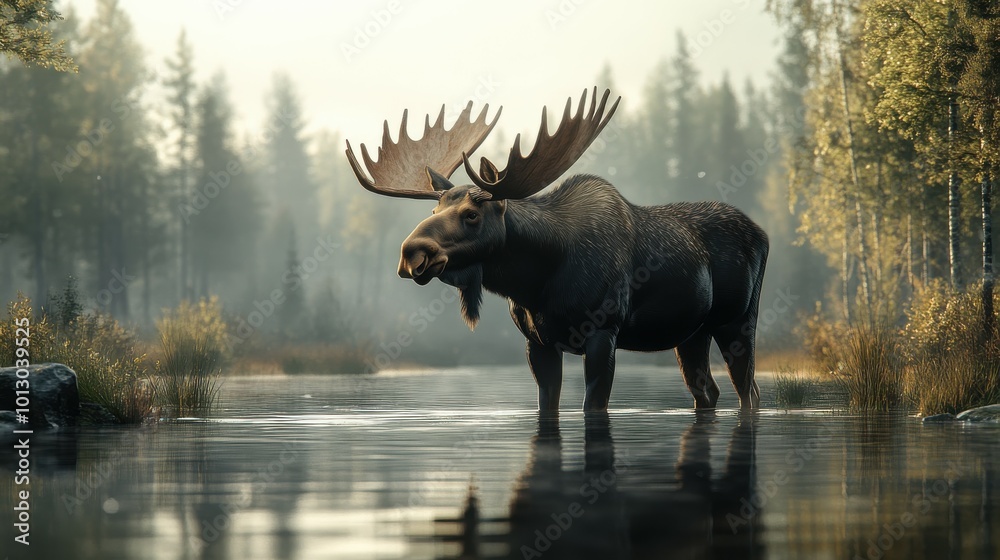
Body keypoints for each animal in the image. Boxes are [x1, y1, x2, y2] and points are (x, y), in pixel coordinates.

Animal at [345, 87, 769, 411]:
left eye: (471, 214)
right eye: (434, 210)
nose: (412, 253)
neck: (538, 283)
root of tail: (763, 233)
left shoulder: (603, 331)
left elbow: (592, 406)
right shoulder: (537, 342)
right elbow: (547, 405)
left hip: (737, 321)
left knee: (749, 392)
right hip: (691, 332)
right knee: (708, 392)